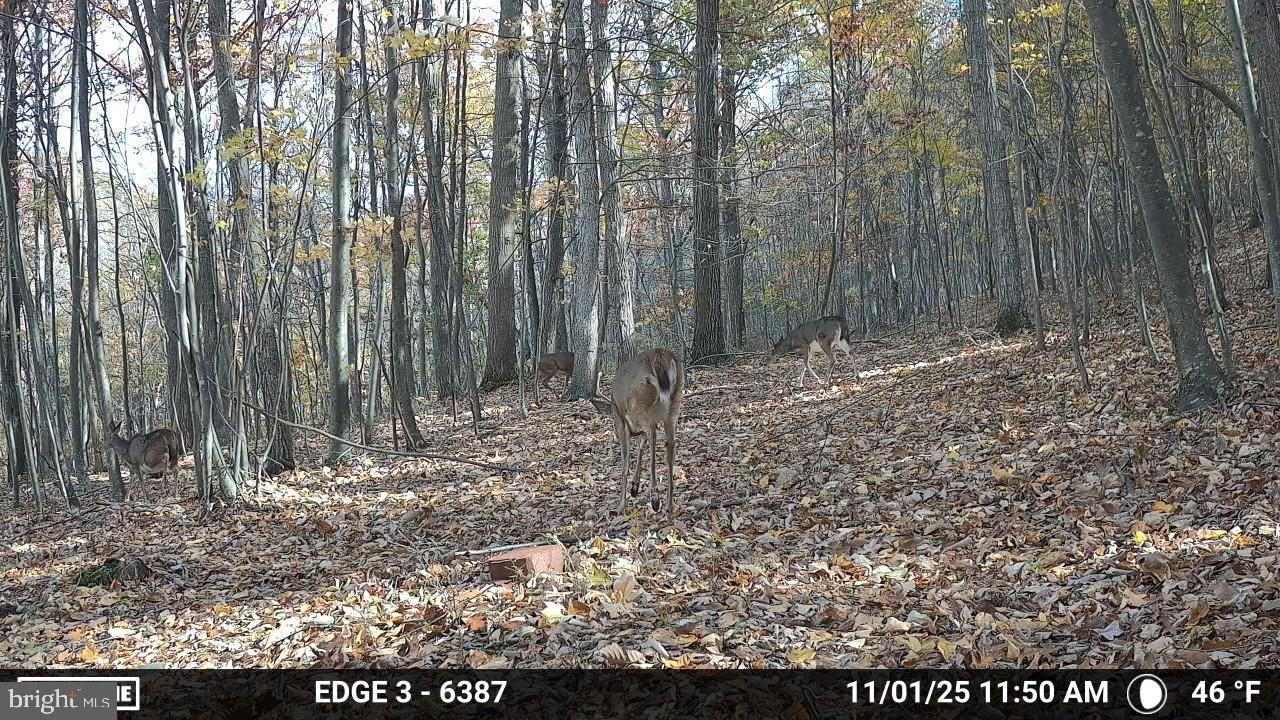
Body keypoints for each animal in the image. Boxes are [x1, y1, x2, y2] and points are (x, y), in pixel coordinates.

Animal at [590, 348, 685, 517]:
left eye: (611, 421)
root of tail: (660, 354)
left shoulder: (622, 422)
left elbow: (626, 463)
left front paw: (621, 504)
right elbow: (641, 446)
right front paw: (634, 487)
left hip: (641, 406)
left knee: (653, 438)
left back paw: (655, 498)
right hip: (674, 406)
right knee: (670, 447)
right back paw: (670, 505)